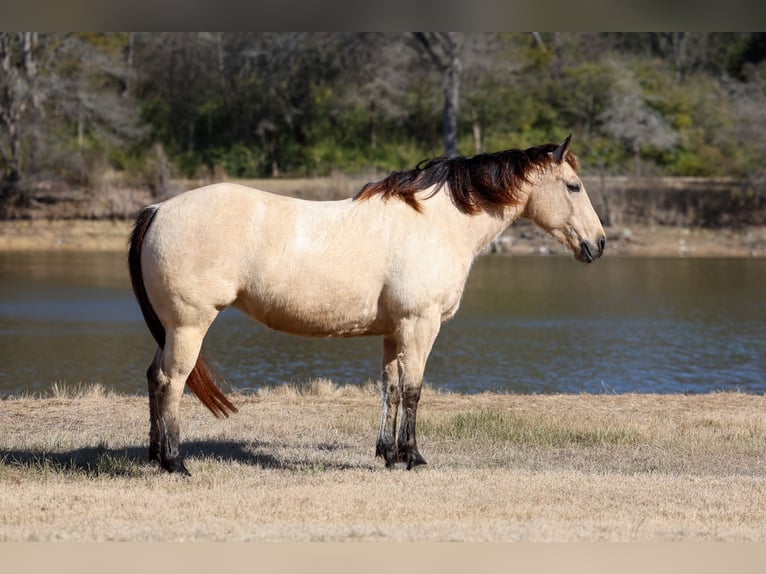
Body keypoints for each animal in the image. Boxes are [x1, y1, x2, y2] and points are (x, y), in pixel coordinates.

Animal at [128, 135, 605, 475]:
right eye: (573, 186)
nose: (598, 244)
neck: (437, 224)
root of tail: (158, 209)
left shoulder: (395, 330)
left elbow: (390, 388)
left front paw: (388, 454)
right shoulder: (420, 324)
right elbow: (413, 389)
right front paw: (413, 456)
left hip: (169, 329)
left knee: (154, 377)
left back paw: (154, 457)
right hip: (188, 326)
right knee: (172, 381)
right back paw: (175, 462)